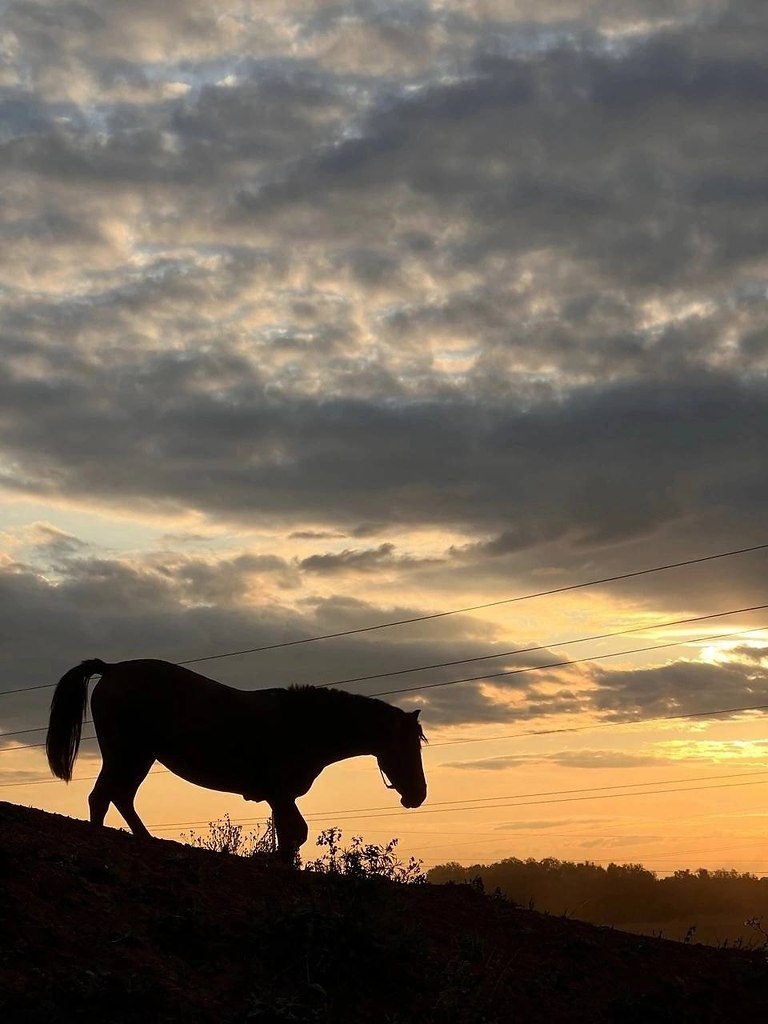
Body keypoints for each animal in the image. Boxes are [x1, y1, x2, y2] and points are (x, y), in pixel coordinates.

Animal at [46, 658, 428, 861]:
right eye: (407, 746)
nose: (419, 795)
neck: (302, 724)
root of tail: (111, 669)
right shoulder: (280, 794)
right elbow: (295, 834)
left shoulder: (280, 798)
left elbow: (291, 836)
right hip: (126, 754)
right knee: (102, 797)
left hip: (138, 757)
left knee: (119, 797)